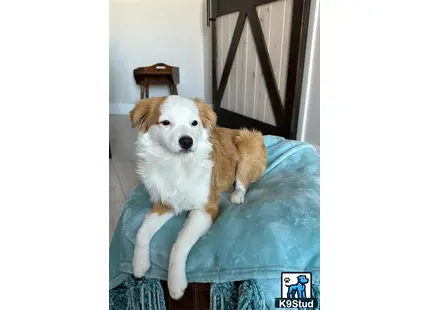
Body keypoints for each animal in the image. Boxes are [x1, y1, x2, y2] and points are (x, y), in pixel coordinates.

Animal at [129, 95, 268, 300]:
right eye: (165, 122)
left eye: (194, 123)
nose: (186, 141)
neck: (177, 164)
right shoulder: (163, 204)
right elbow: (141, 232)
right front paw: (139, 265)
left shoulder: (205, 209)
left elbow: (179, 244)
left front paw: (176, 284)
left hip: (248, 142)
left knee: (242, 180)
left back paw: (236, 194)